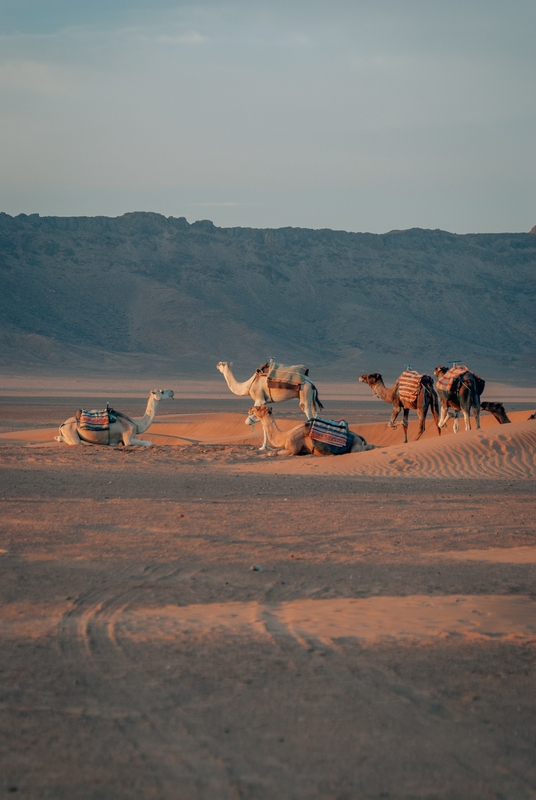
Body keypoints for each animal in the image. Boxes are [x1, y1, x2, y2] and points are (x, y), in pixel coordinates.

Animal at [246, 406, 374, 456]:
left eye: (258, 408)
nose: (250, 408)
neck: (285, 435)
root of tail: (358, 436)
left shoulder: (293, 449)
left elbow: (274, 452)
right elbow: (274, 451)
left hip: (355, 444)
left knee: (363, 448)